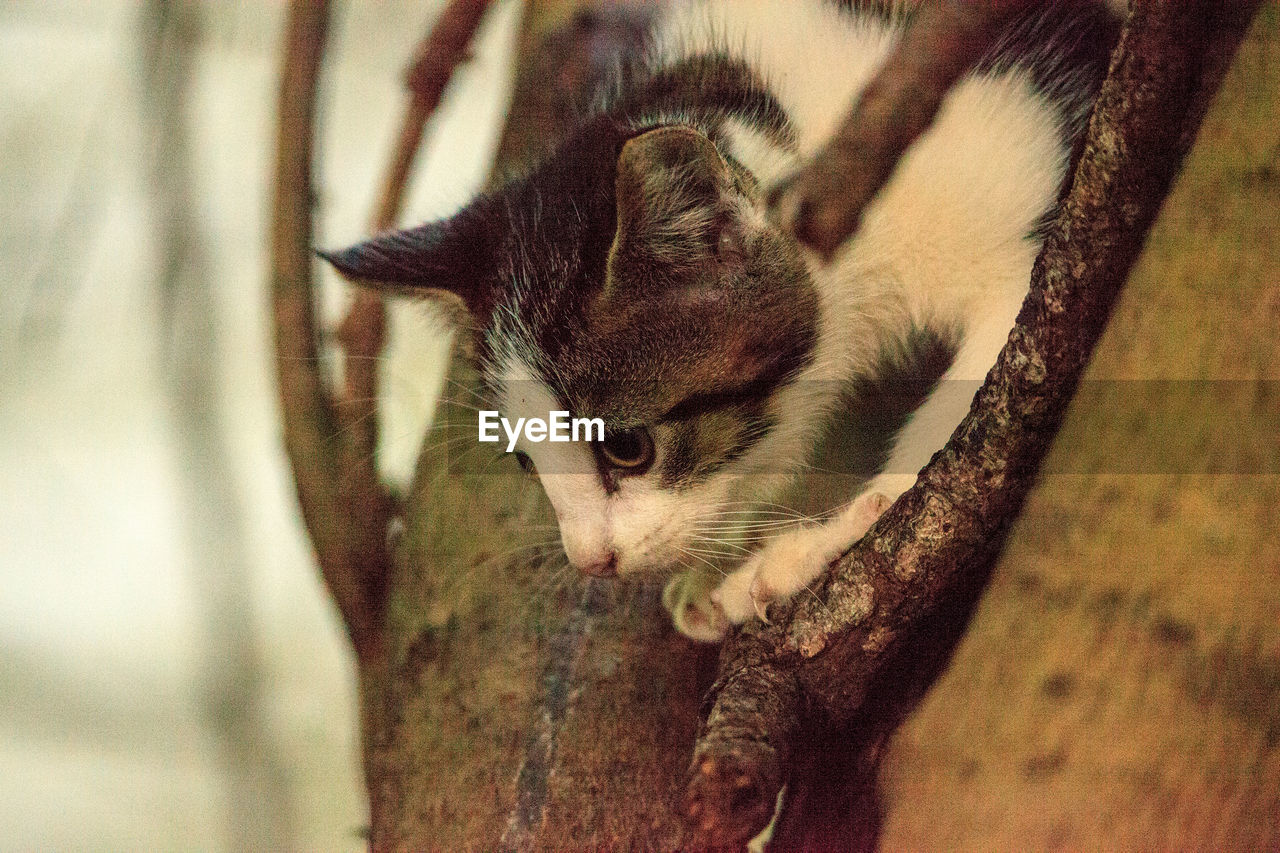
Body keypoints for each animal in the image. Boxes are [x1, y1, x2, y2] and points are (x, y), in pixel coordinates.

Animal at [322, 0, 1121, 637]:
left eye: (628, 448)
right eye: (523, 458)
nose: (591, 561)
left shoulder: (1014, 208)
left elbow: (988, 400)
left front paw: (817, 543)